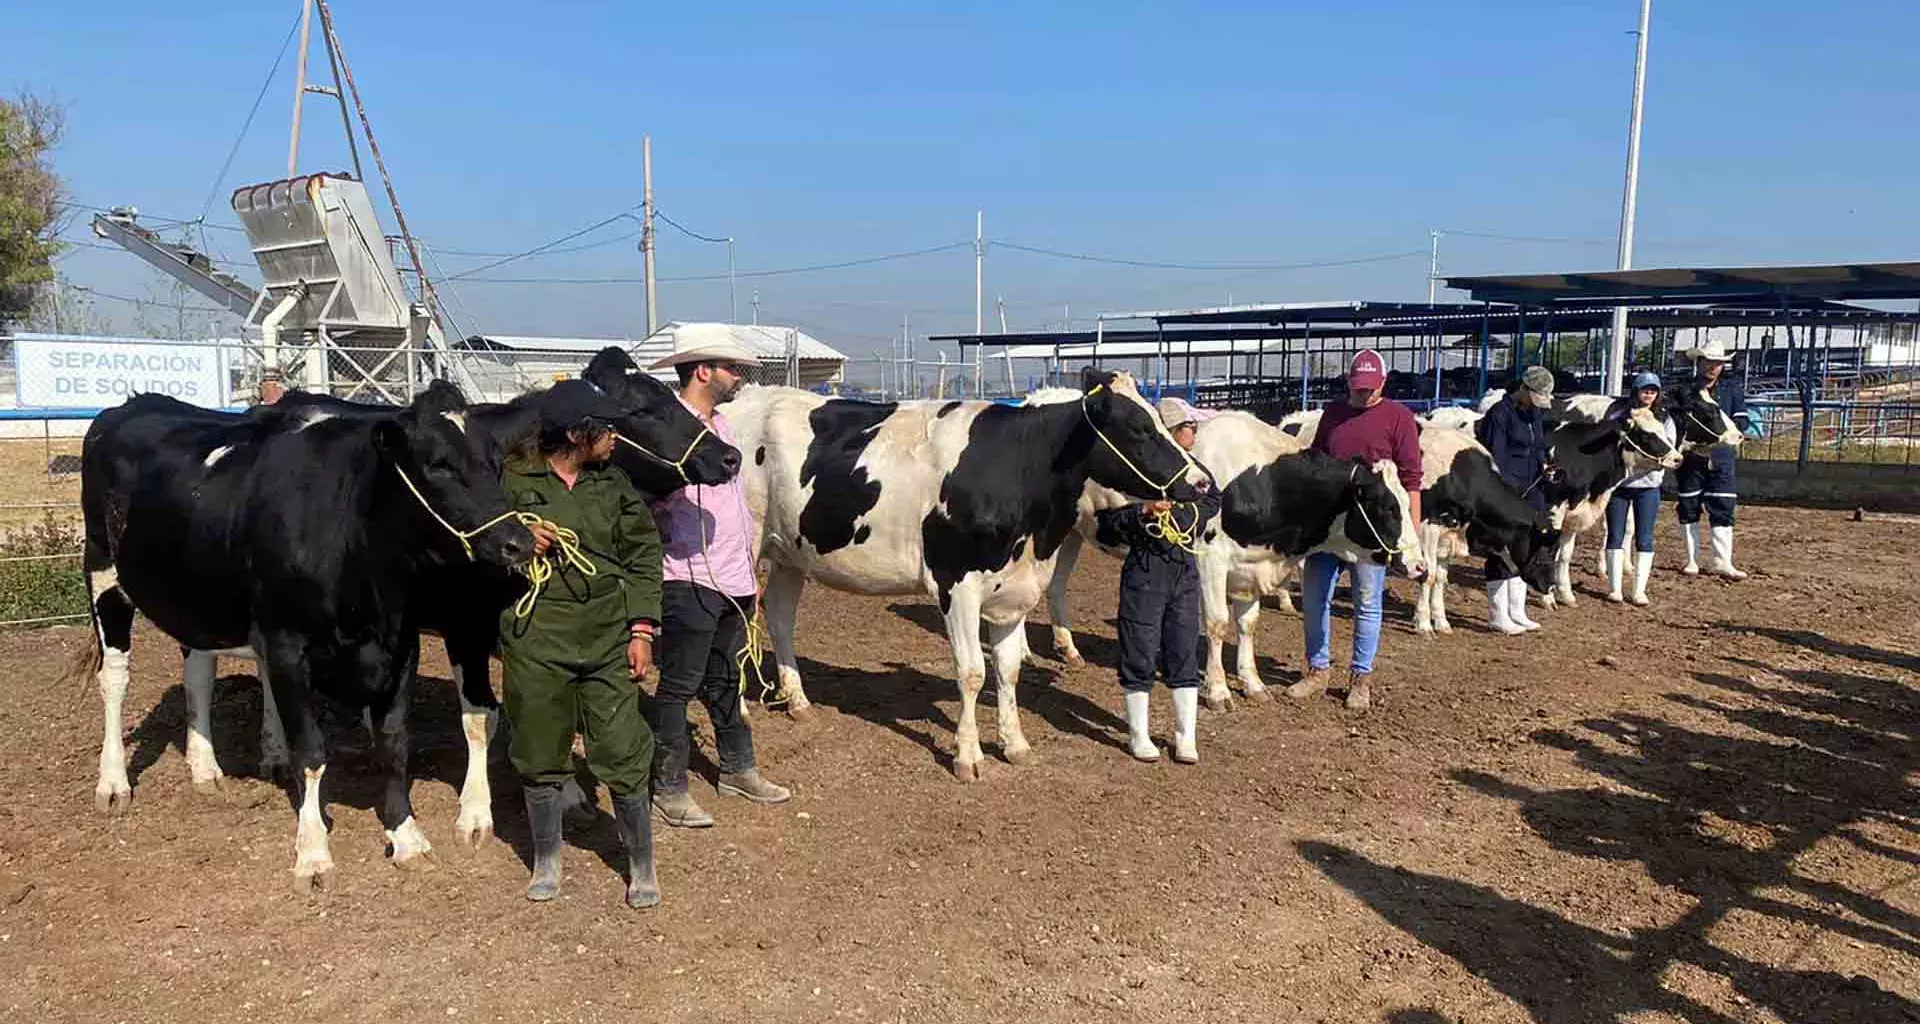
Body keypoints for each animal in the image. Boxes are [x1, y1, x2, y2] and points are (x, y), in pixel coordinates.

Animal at [80, 380, 533, 887]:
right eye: (438, 464)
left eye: (496, 463)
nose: (518, 542)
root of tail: (135, 402)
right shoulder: (288, 646)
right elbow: (312, 751)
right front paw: (313, 852)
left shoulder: (401, 646)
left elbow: (396, 744)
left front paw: (407, 837)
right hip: (102, 569)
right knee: (114, 678)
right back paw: (114, 782)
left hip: (198, 597)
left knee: (199, 671)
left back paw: (209, 767)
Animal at [725, 366, 1205, 776]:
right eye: (1140, 428)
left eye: (1159, 421)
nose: (1201, 482)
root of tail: (746, 399)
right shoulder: (956, 584)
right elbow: (972, 672)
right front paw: (968, 755)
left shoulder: (1015, 590)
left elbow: (1007, 670)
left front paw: (1015, 744)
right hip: (742, 550)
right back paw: (743, 709)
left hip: (790, 552)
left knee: (779, 614)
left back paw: (797, 699)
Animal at [1413, 420, 1559, 630]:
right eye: (1544, 549)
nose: (1551, 585)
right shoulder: (1428, 528)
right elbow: (1428, 576)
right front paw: (1423, 623)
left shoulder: (1448, 535)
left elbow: (1441, 578)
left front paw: (1441, 622)